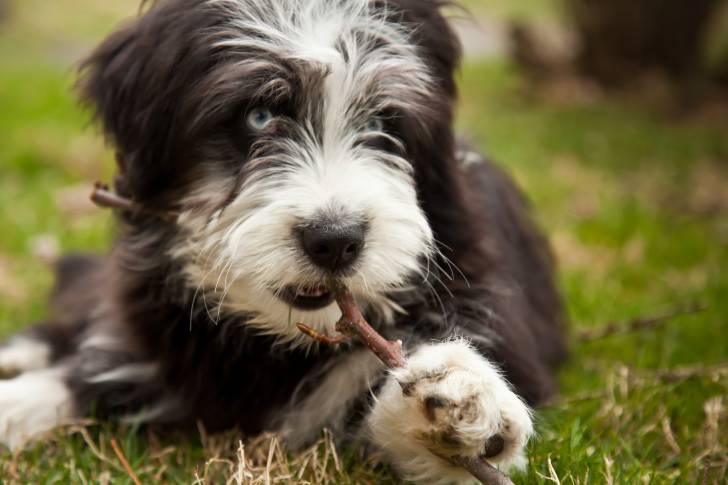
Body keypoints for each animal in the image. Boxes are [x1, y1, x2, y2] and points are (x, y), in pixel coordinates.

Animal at [0, 1, 568, 482]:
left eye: (381, 122)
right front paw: (18, 401)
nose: (335, 240)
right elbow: (88, 372)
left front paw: (466, 398)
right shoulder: (148, 334)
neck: (279, 344)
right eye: (259, 117)